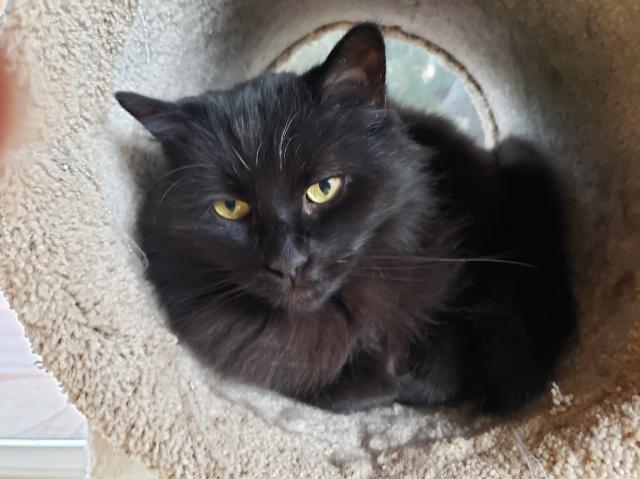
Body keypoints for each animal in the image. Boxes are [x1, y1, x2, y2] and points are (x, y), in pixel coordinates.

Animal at [116, 22, 576, 414]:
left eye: (324, 188)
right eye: (230, 208)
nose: (288, 263)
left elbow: (438, 373)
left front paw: (408, 378)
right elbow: (335, 389)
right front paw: (384, 381)